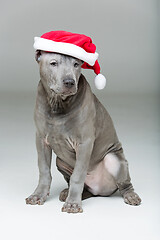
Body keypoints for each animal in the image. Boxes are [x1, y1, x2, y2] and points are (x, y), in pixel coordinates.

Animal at [25, 51, 142, 214]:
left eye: (76, 64)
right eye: (53, 63)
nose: (69, 82)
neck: (57, 104)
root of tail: (99, 190)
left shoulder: (84, 142)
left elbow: (77, 176)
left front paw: (73, 204)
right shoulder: (41, 140)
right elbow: (44, 170)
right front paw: (38, 195)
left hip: (114, 159)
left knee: (124, 184)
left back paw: (130, 195)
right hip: (60, 161)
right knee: (84, 188)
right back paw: (67, 192)